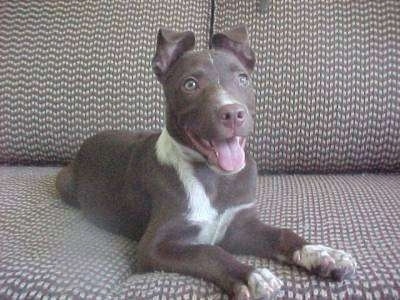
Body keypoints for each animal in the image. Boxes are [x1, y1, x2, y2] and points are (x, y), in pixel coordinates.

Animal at [56, 27, 356, 298]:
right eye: (190, 84)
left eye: (243, 79)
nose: (233, 113)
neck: (215, 178)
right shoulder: (154, 246)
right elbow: (208, 251)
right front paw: (250, 276)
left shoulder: (239, 226)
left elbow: (282, 235)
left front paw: (321, 254)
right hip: (65, 183)